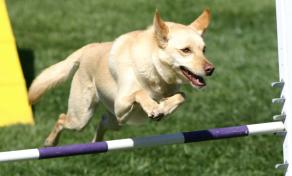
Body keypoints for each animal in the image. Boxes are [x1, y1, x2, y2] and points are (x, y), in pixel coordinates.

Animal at [28, 8, 214, 146]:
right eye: (186, 50)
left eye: (204, 50)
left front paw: (163, 108)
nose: (211, 69)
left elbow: (182, 96)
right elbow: (140, 93)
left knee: (102, 121)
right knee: (62, 118)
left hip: (117, 121)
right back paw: (50, 143)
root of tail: (89, 47)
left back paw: (97, 143)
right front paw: (153, 107)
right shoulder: (121, 103)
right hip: (81, 117)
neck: (156, 74)